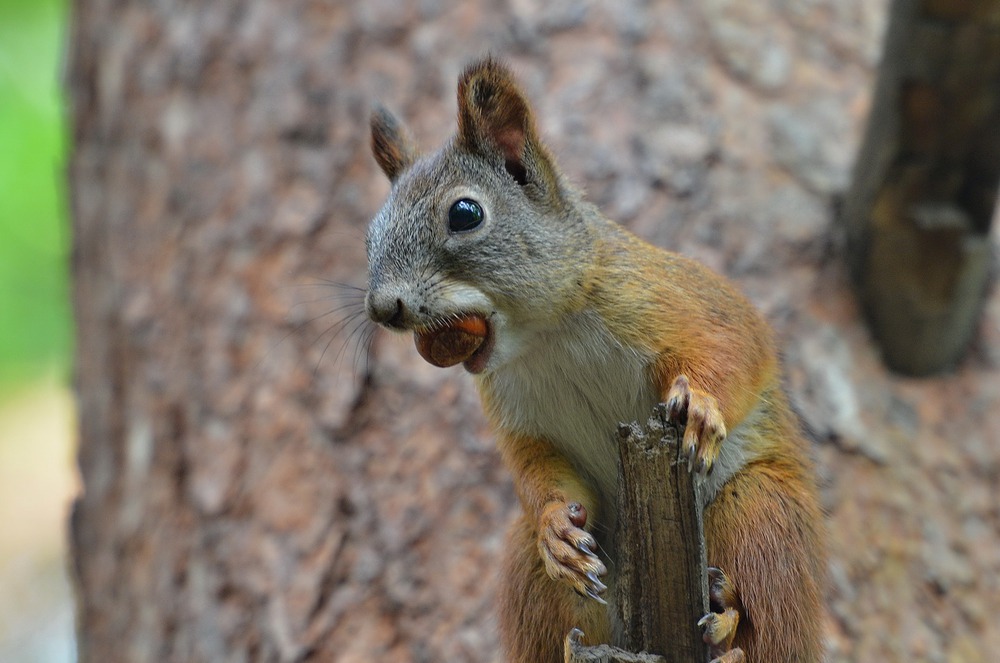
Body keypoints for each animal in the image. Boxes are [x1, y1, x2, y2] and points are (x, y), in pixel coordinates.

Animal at [364, 58, 824, 663]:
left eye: (465, 213)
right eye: (369, 236)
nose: (382, 308)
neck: (545, 337)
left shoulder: (675, 297)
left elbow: (737, 345)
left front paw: (702, 407)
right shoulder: (520, 416)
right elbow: (538, 466)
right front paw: (556, 526)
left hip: (761, 513)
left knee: (770, 618)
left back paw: (728, 627)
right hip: (538, 574)